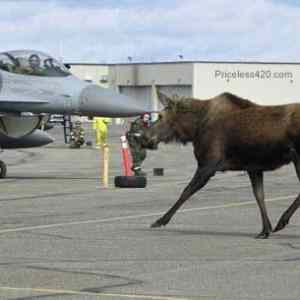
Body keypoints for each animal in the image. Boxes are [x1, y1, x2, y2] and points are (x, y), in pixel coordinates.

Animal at [143, 92, 300, 239]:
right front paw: (265, 230)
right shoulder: (253, 167)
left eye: (161, 116)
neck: (194, 129)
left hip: (297, 159)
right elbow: (259, 196)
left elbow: (186, 191)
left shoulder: (208, 165)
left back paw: (282, 221)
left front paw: (160, 221)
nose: (145, 137)